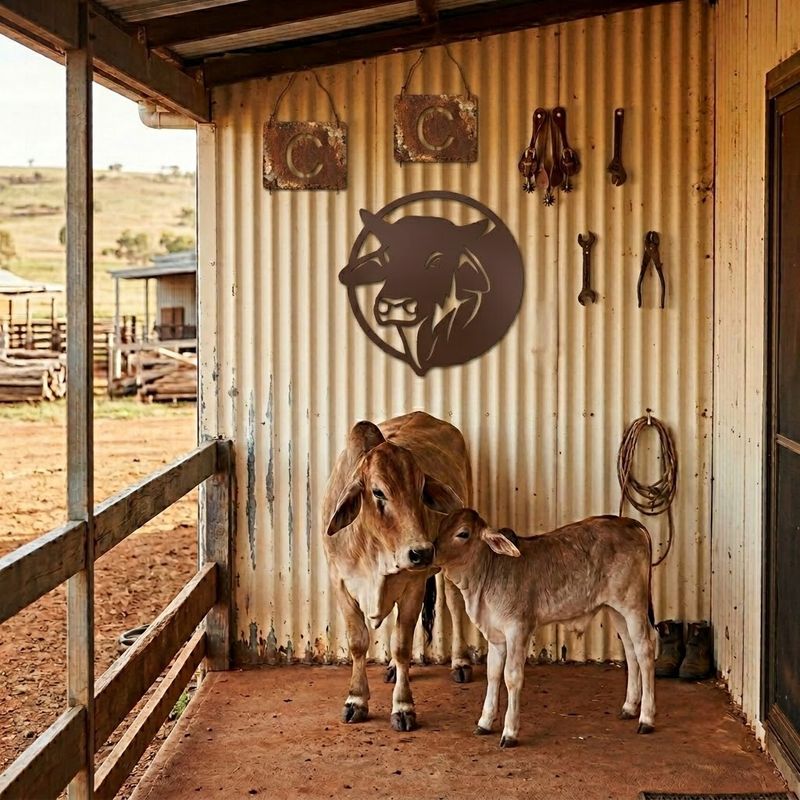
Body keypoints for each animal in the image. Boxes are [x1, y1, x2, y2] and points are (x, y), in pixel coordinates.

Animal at [322, 411, 474, 731]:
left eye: (421, 489)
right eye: (378, 492)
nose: (422, 552)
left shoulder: (413, 585)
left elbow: (402, 645)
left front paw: (403, 707)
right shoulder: (340, 583)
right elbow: (358, 643)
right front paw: (356, 700)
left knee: (455, 606)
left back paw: (460, 662)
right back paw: (392, 668)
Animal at [433, 509, 657, 747]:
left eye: (463, 533)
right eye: (441, 525)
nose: (429, 552)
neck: (488, 573)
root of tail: (628, 522)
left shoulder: (517, 629)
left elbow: (511, 677)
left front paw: (510, 732)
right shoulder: (495, 636)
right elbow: (492, 674)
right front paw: (484, 722)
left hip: (633, 606)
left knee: (645, 650)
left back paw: (646, 718)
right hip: (617, 610)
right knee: (631, 651)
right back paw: (629, 707)